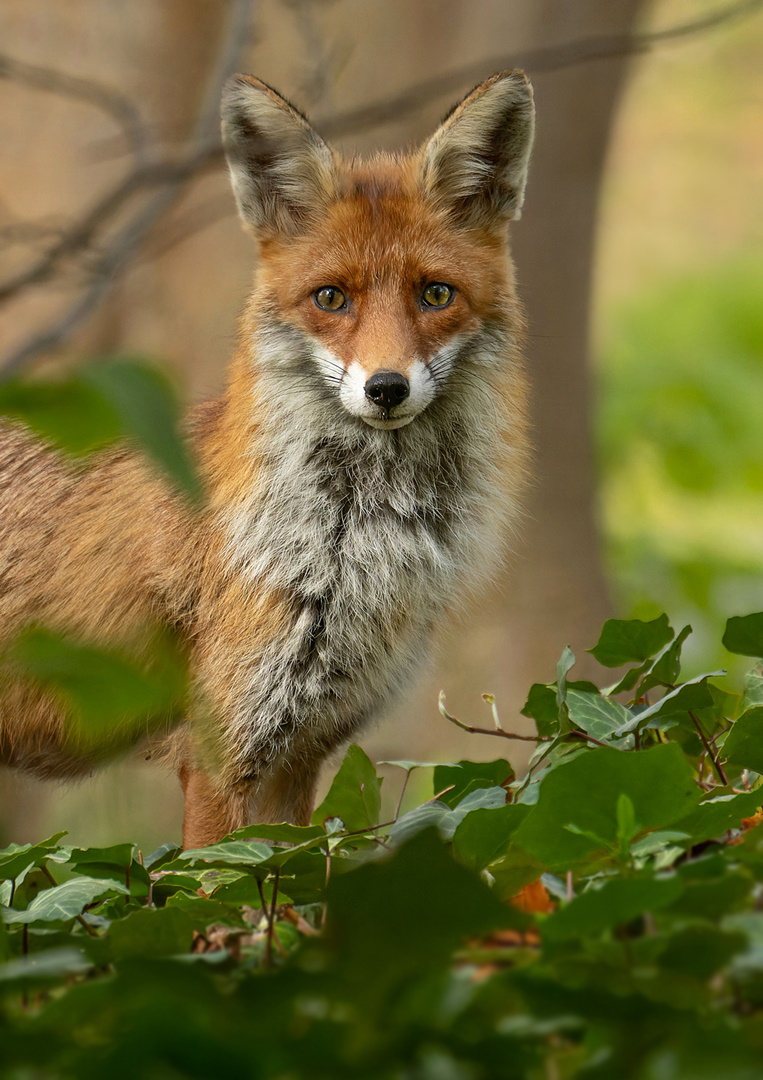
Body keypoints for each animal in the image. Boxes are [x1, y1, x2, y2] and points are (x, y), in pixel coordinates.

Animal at [0, 69, 531, 851]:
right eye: (330, 298)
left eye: (436, 294)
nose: (386, 387)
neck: (350, 546)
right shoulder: (220, 748)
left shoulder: (301, 750)